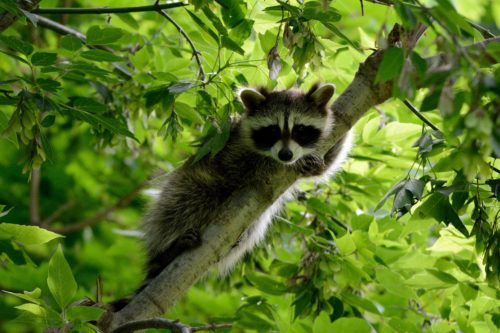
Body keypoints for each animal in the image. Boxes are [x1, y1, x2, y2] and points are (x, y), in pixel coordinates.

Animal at [116, 83, 352, 306]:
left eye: (300, 130)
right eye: (272, 131)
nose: (286, 155)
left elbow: (327, 162)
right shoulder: (231, 147)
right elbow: (245, 167)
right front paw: (276, 163)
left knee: (251, 227)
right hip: (186, 184)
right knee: (185, 202)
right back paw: (168, 249)